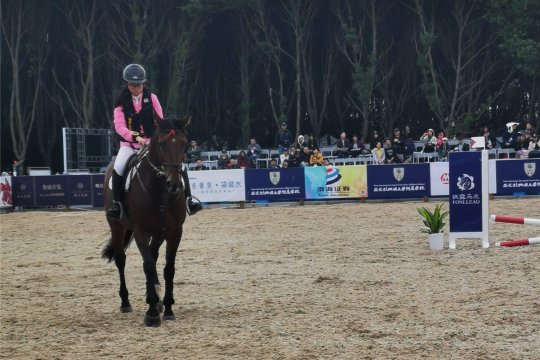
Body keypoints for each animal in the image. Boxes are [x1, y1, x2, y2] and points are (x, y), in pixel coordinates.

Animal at [102, 115, 191, 326]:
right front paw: (151, 313)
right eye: (160, 144)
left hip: (158, 233)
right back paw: (126, 302)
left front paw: (167, 307)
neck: (160, 193)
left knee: (153, 254)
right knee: (121, 260)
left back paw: (156, 298)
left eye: (184, 144)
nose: (174, 184)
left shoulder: (175, 231)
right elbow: (148, 266)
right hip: (117, 226)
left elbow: (168, 268)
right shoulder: (140, 231)